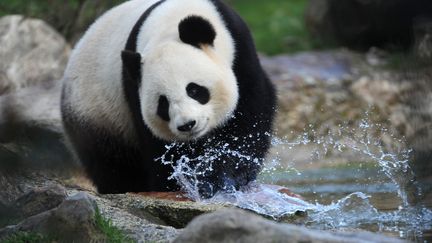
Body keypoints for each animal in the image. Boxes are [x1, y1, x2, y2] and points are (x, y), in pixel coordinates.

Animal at [60, 0, 276, 197]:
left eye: (194, 90)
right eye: (163, 104)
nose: (187, 125)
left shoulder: (240, 53)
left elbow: (246, 125)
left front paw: (221, 178)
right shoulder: (134, 88)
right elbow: (160, 149)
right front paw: (180, 183)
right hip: (96, 115)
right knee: (111, 162)